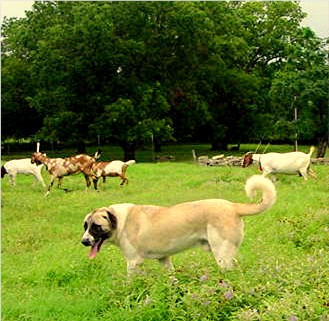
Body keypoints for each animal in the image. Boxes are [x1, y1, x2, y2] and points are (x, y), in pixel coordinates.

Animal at [81, 174, 274, 274]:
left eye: (95, 227)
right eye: (85, 226)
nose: (84, 241)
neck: (121, 221)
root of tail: (232, 205)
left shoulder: (134, 262)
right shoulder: (164, 259)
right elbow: (171, 277)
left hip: (222, 254)